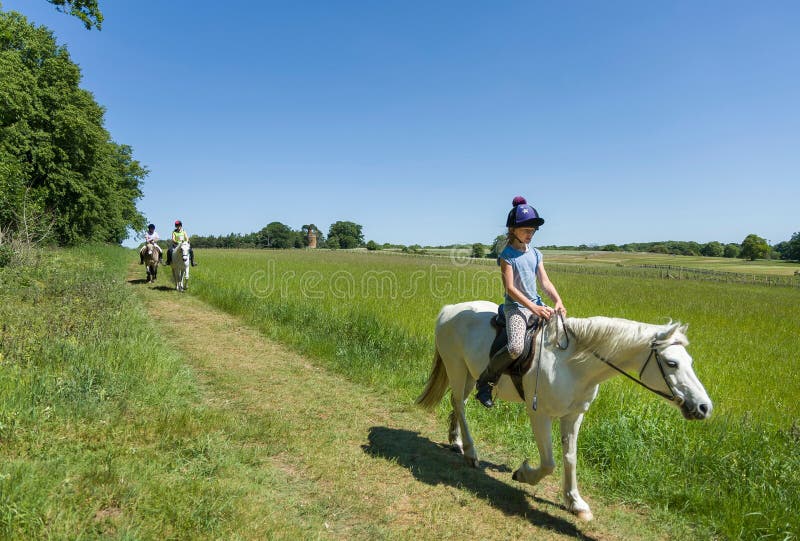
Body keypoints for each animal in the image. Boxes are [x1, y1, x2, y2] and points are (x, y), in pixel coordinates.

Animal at [416, 302, 708, 520]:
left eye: (690, 361)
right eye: (671, 363)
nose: (704, 407)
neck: (571, 364)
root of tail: (449, 309)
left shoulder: (574, 415)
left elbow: (570, 457)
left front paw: (575, 502)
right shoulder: (539, 414)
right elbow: (549, 463)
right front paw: (523, 474)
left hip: (469, 374)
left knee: (458, 403)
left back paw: (456, 442)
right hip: (456, 368)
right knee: (460, 405)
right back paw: (471, 453)